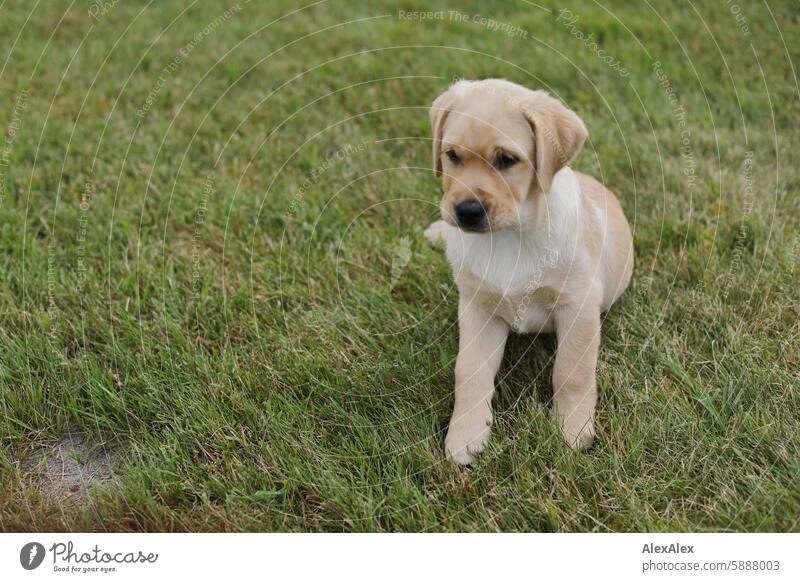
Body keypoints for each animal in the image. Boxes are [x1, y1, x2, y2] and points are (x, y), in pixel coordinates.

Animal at [424, 80, 632, 468]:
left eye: (506, 160)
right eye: (453, 156)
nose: (466, 211)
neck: (511, 234)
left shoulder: (578, 306)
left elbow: (572, 371)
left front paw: (572, 429)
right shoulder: (478, 308)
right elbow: (470, 371)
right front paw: (465, 435)